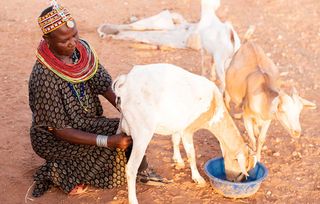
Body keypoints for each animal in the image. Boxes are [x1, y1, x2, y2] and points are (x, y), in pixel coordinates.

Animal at [112, 63, 255, 204]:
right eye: (242, 170)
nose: (235, 182)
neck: (214, 106)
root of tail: (126, 82)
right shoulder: (188, 129)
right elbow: (191, 154)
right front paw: (197, 178)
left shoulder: (178, 125)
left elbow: (175, 140)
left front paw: (178, 160)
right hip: (142, 132)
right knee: (131, 168)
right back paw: (133, 200)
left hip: (124, 125)